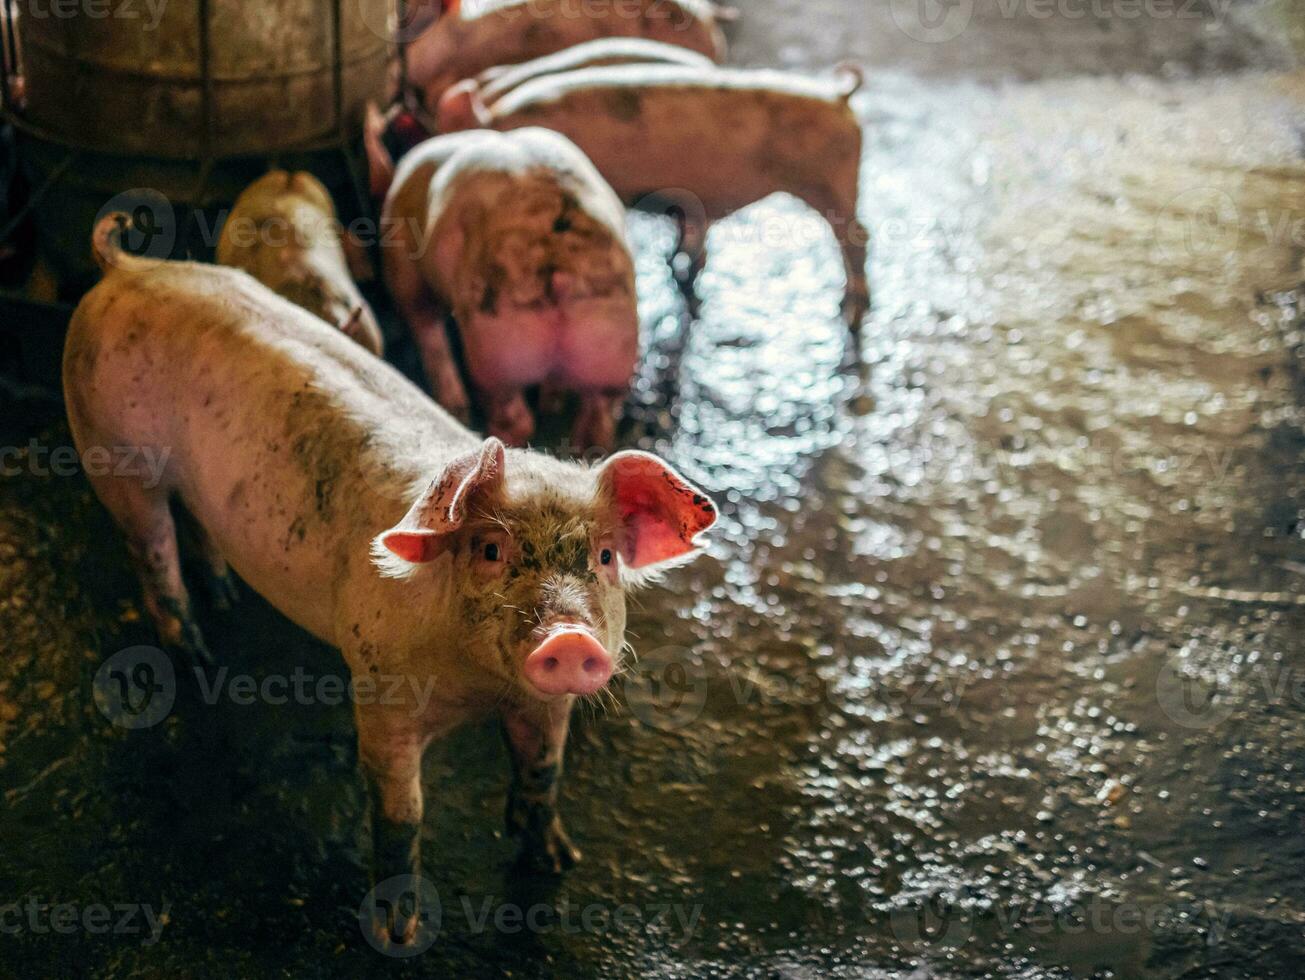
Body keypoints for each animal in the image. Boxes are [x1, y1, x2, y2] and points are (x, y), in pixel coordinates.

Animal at [66, 211, 720, 944]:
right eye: (489, 550)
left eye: (605, 558)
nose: (569, 638)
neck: (478, 689)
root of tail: (125, 267)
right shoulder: (378, 690)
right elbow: (401, 813)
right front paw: (395, 934)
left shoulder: (548, 704)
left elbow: (543, 771)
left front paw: (556, 862)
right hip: (112, 452)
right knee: (154, 554)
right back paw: (197, 658)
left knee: (196, 527)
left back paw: (228, 597)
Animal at [365, 123, 639, 456]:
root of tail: (558, 264)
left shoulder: (403, 266)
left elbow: (426, 328)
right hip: (610, 340)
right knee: (596, 424)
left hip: (498, 346)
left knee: (512, 415)